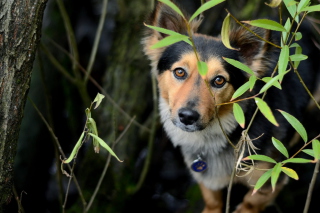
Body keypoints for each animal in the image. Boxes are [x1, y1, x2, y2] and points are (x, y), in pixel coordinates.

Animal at [142, 1, 318, 213]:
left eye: (219, 80)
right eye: (179, 72)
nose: (187, 116)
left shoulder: (271, 178)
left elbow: (250, 203)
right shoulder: (207, 180)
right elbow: (213, 201)